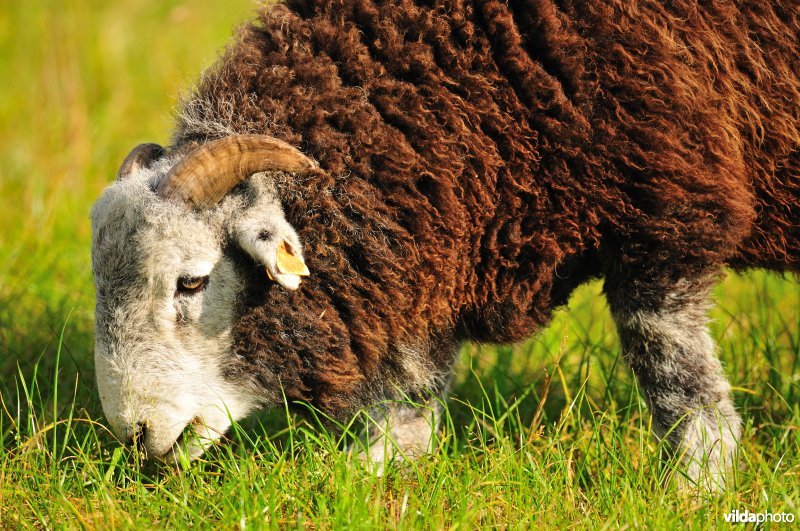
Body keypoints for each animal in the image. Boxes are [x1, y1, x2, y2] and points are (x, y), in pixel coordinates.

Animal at [92, 0, 800, 490]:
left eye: (192, 282)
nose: (136, 434)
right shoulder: (431, 255)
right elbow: (407, 403)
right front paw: (364, 487)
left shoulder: (671, 216)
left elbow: (682, 387)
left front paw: (695, 491)